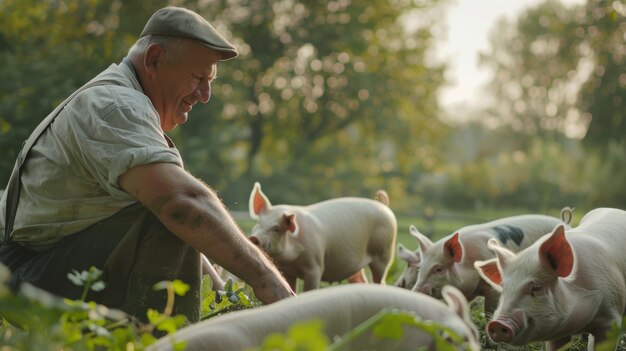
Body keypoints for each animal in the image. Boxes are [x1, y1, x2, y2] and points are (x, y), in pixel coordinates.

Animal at [245, 183, 394, 292]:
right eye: (259, 222)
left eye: (276, 229)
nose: (254, 238)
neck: (291, 260)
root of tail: (383, 205)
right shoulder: (287, 271)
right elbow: (290, 287)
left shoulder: (315, 266)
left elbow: (309, 289)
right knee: (360, 280)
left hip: (384, 253)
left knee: (380, 280)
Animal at [408, 212, 568, 314]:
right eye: (420, 268)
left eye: (439, 269)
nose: (414, 291)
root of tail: (564, 223)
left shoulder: (492, 289)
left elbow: (489, 310)